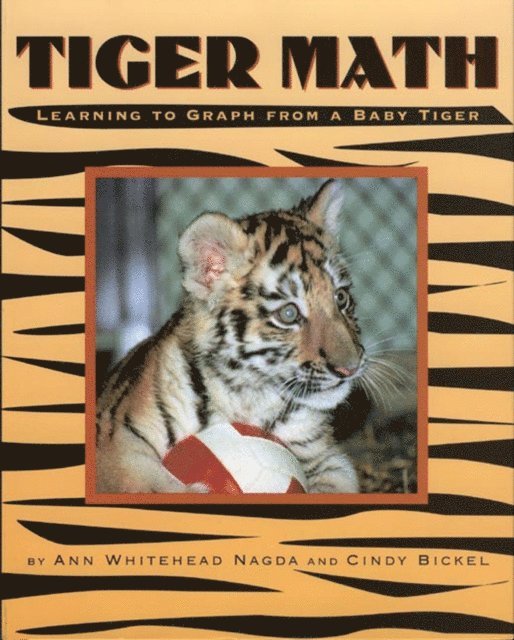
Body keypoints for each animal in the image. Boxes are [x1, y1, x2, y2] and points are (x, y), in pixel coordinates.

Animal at [96, 179, 364, 494]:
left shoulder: (328, 458)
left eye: (341, 298)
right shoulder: (118, 444)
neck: (249, 398)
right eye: (288, 314)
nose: (351, 368)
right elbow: (152, 486)